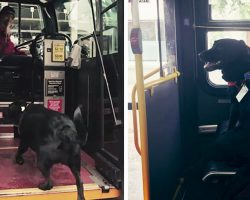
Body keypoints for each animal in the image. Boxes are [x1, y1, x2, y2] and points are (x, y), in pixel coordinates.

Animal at [197, 38, 250, 198]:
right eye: (214, 44)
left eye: (220, 47)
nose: (199, 54)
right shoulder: (234, 104)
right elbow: (232, 120)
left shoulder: (235, 104)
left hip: (216, 145)